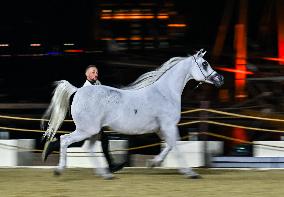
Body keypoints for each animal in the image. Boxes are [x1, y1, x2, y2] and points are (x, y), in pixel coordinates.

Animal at [41, 48, 224, 179]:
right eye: (205, 63)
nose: (220, 79)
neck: (165, 92)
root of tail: (78, 90)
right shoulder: (169, 126)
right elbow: (175, 146)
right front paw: (191, 173)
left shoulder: (162, 128)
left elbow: (169, 146)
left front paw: (153, 163)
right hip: (87, 129)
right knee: (65, 140)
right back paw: (59, 169)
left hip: (93, 131)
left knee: (88, 148)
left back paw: (106, 174)